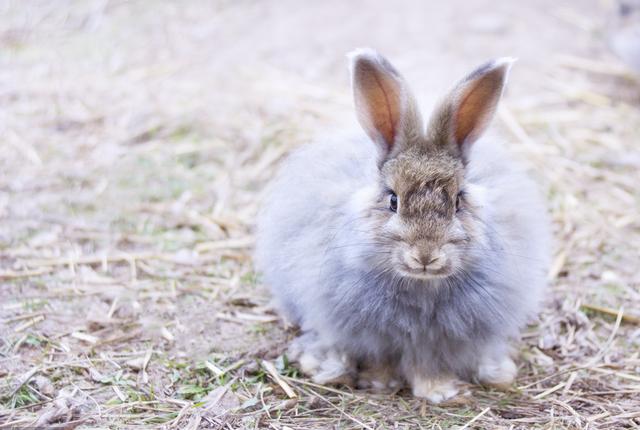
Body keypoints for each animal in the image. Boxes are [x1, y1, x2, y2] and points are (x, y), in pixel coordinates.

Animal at [254, 50, 552, 404]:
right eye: (393, 200)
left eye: (458, 201)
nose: (425, 255)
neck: (421, 286)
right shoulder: (372, 335)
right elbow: (381, 359)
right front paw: (381, 383)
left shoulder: (436, 341)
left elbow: (428, 364)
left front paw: (439, 390)